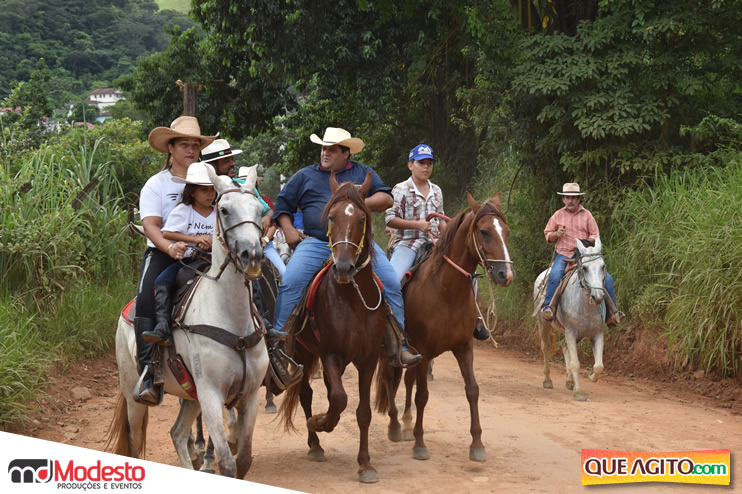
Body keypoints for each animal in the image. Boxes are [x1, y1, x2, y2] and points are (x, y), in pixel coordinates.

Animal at [105, 164, 269, 478]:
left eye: (258, 209)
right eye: (225, 210)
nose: (252, 255)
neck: (232, 320)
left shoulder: (250, 395)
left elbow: (244, 460)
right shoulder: (211, 394)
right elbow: (227, 463)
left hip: (190, 397)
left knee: (177, 433)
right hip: (133, 395)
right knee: (135, 443)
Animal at [278, 172, 387, 484]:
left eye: (361, 218)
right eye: (331, 217)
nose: (344, 268)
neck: (352, 301)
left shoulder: (368, 359)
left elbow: (362, 412)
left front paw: (365, 464)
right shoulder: (330, 355)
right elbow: (338, 398)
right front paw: (320, 422)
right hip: (302, 354)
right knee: (306, 394)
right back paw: (315, 443)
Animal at [375, 192, 514, 463]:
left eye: (505, 231)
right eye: (484, 231)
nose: (507, 274)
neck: (446, 291)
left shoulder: (463, 347)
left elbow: (472, 390)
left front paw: (477, 445)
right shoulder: (424, 349)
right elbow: (422, 395)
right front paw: (419, 444)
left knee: (407, 380)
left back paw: (406, 423)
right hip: (391, 350)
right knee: (388, 378)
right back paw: (395, 426)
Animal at [534, 236, 607, 402]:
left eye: (603, 267)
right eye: (584, 268)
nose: (598, 297)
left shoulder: (597, 333)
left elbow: (599, 366)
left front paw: (590, 376)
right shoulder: (571, 332)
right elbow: (575, 363)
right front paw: (579, 392)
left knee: (564, 347)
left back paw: (569, 382)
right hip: (544, 323)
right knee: (546, 347)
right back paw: (548, 380)